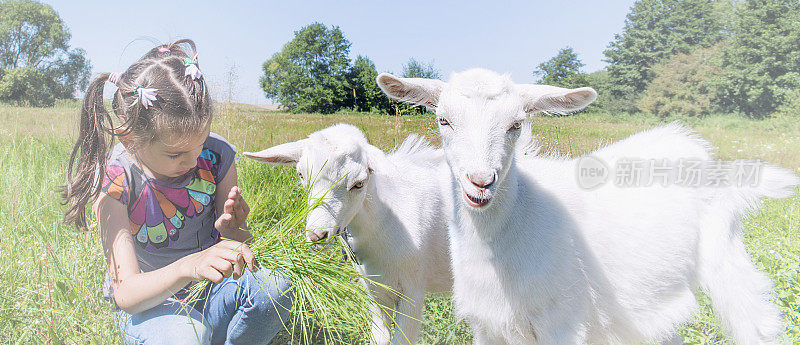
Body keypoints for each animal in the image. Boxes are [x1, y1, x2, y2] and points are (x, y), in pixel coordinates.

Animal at [376, 68, 800, 344]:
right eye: (443, 120)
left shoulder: (563, 320)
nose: (480, 182)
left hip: (726, 260)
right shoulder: (488, 325)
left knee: (755, 321)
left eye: (516, 125)